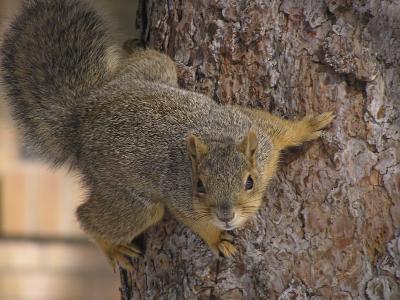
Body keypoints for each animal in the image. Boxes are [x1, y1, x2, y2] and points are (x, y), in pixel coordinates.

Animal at [0, 0, 334, 270]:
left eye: (249, 182)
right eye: (199, 186)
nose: (226, 216)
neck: (219, 140)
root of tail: (82, 115)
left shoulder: (258, 132)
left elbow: (280, 128)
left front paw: (308, 126)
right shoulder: (180, 198)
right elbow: (196, 222)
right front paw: (216, 239)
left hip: (155, 71)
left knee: (151, 61)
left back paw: (133, 46)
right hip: (132, 200)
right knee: (88, 216)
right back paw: (112, 248)